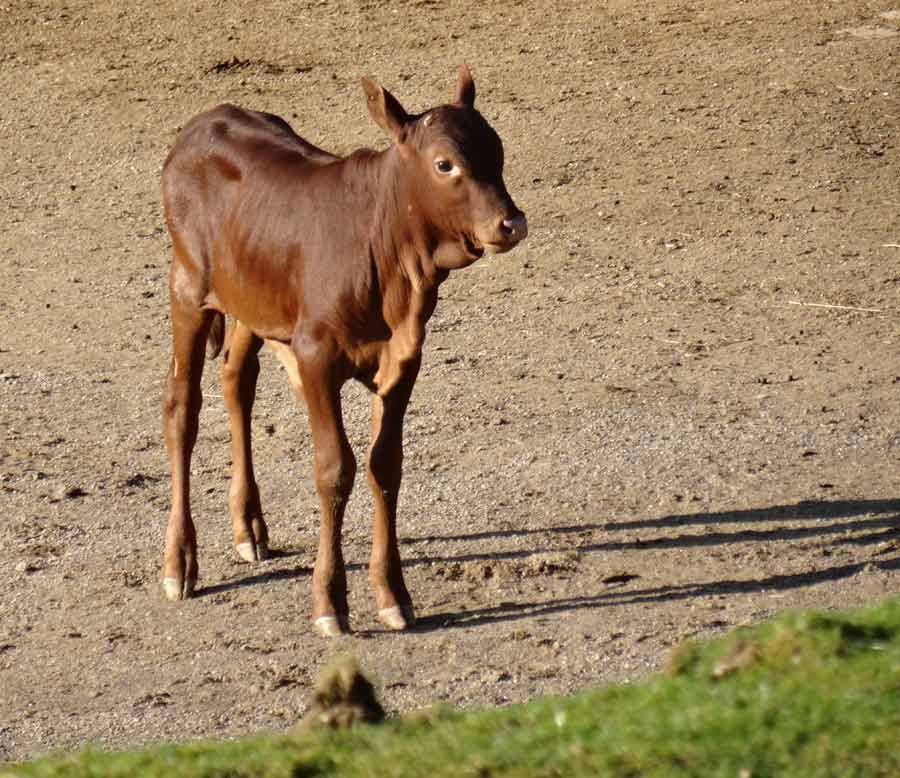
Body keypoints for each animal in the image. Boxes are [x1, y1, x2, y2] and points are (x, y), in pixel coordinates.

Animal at [162, 66, 528, 632]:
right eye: (445, 164)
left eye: (498, 149)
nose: (511, 223)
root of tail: (202, 125)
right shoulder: (316, 355)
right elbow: (335, 469)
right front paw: (329, 601)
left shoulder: (404, 358)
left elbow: (385, 465)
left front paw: (392, 593)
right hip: (187, 288)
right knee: (183, 407)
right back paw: (180, 562)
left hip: (252, 299)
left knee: (237, 381)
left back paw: (249, 526)